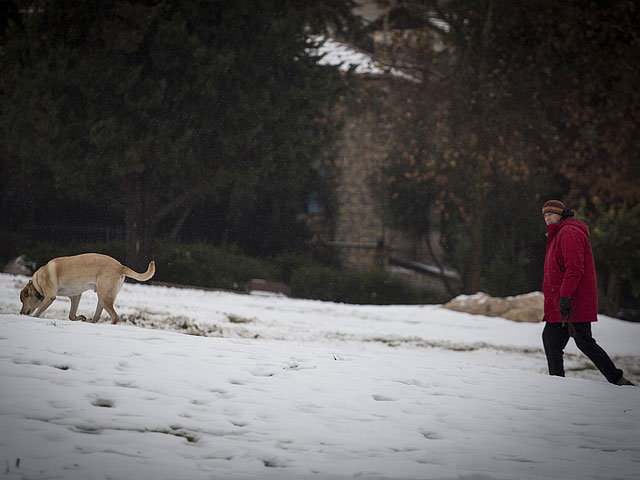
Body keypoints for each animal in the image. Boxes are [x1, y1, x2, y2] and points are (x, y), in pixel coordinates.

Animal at [19, 253, 155, 324]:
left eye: (22, 301)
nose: (20, 313)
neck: (37, 284)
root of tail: (121, 266)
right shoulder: (75, 296)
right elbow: (71, 315)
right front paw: (81, 318)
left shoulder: (50, 297)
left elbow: (37, 313)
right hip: (102, 298)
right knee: (97, 316)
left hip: (104, 297)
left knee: (115, 317)